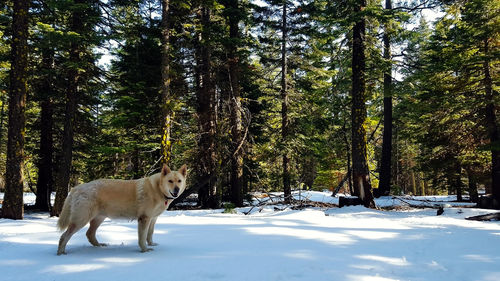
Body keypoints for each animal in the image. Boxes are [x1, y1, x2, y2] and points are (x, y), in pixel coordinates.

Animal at [55, 163, 188, 255]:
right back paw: (61, 253)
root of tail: (77, 188)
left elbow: (150, 234)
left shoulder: (153, 218)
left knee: (89, 234)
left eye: (179, 181)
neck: (158, 189)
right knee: (64, 236)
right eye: (170, 181)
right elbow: (142, 237)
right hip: (81, 220)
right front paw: (145, 250)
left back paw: (99, 246)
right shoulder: (144, 219)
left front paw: (151, 244)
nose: (176, 190)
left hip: (99, 218)